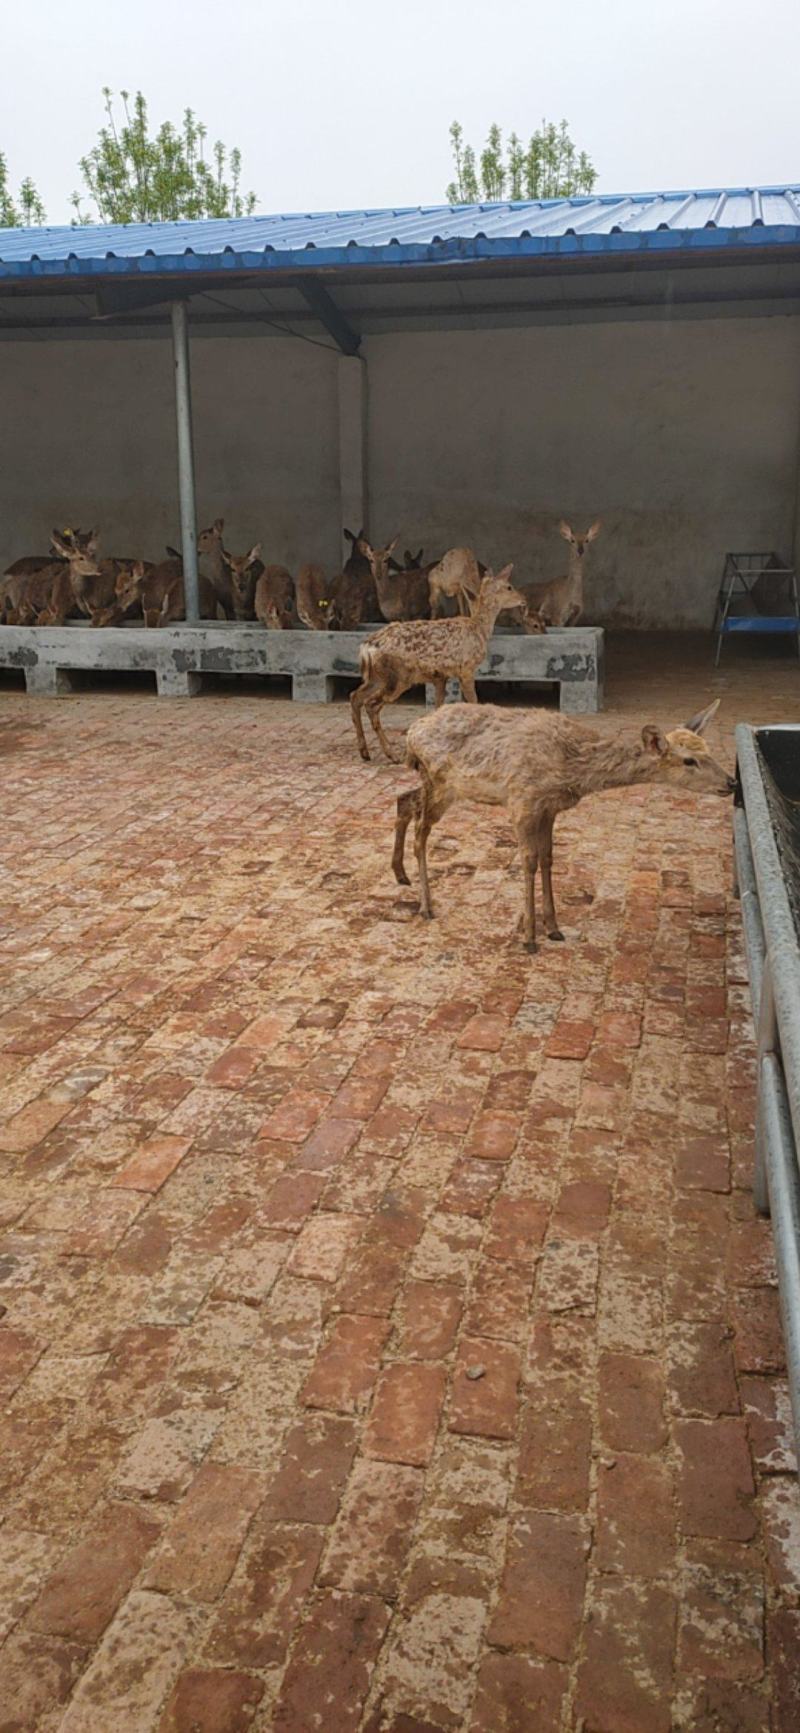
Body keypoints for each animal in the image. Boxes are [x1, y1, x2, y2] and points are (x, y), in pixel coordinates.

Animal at [350, 564, 526, 763]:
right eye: (509, 587)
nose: (523, 600)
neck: (478, 629)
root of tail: (367, 647)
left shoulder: (440, 677)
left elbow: (438, 707)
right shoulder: (466, 668)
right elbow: (474, 702)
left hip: (377, 677)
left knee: (355, 697)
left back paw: (365, 752)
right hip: (398, 677)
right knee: (371, 705)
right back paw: (392, 754)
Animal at [392, 698, 733, 952]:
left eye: (708, 750)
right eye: (689, 760)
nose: (731, 782)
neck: (569, 771)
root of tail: (411, 734)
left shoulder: (549, 809)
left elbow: (547, 858)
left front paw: (554, 928)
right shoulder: (522, 800)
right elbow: (528, 862)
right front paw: (530, 938)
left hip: (437, 785)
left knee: (404, 800)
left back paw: (401, 874)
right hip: (441, 782)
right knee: (421, 833)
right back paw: (426, 906)